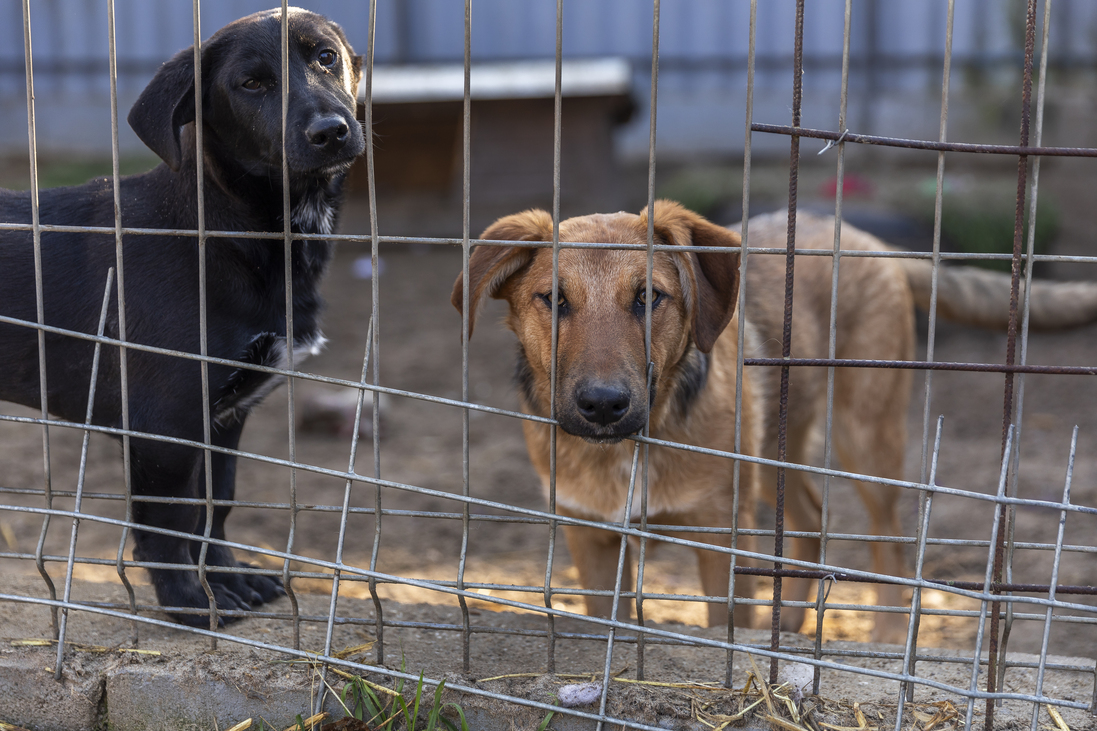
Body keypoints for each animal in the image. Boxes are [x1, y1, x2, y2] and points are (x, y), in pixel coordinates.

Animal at [0, 8, 366, 623]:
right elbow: (169, 519)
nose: (331, 131)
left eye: (326, 57)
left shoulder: (223, 420)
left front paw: (227, 578)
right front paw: (190, 603)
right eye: (251, 83)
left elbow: (215, 506)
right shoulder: (163, 425)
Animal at [449, 199, 1097, 636]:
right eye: (554, 300)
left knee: (890, 537)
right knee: (812, 519)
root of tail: (862, 237)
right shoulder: (592, 536)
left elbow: (721, 629)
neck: (631, 447)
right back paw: (789, 626)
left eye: (649, 297)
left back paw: (885, 636)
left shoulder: (722, 539)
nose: (604, 405)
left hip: (865, 437)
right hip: (771, 452)